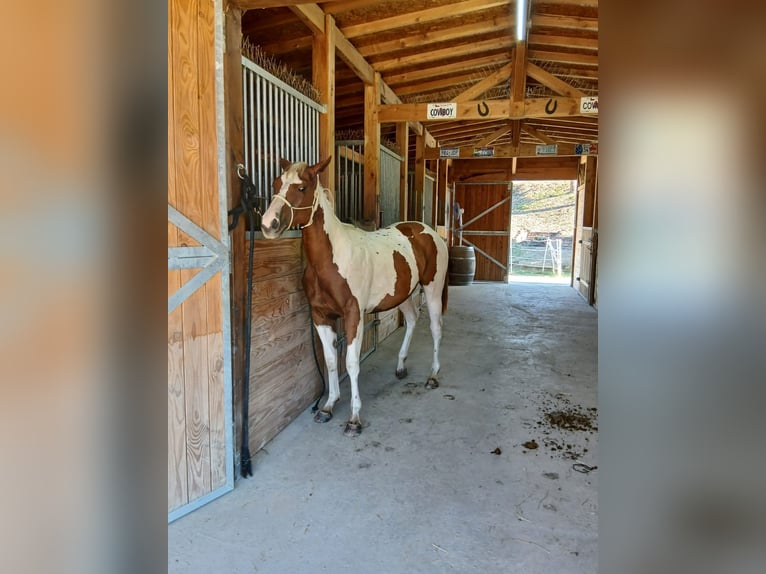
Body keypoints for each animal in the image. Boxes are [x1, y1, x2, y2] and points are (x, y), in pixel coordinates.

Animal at [260, 157, 449, 437]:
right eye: (276, 183)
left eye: (302, 188)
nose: (267, 224)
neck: (332, 260)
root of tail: (428, 231)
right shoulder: (320, 316)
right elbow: (330, 361)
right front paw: (328, 406)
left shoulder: (353, 315)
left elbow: (351, 363)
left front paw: (354, 419)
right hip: (403, 294)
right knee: (413, 320)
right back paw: (401, 367)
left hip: (433, 289)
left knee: (436, 328)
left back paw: (433, 376)